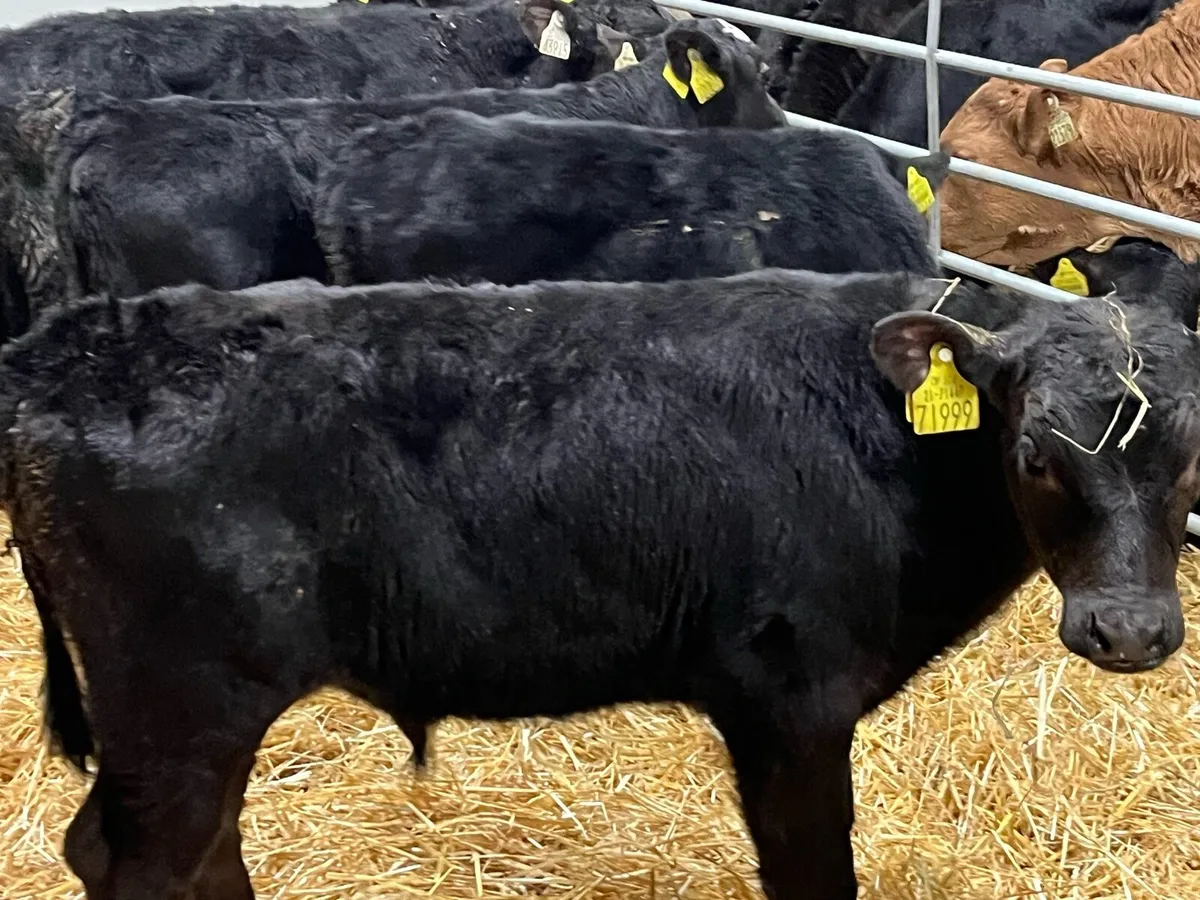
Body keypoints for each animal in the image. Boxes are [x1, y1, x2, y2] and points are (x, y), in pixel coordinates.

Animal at [6, 267, 1200, 900]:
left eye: (1192, 453)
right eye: (1035, 453)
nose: (1128, 631)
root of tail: (70, 349)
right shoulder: (790, 702)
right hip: (180, 703)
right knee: (137, 857)